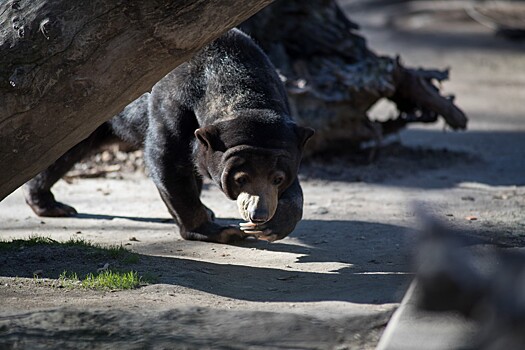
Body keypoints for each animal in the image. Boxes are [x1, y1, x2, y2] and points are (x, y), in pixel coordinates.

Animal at [24, 29, 312, 243]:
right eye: (240, 178)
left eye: (278, 178)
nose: (258, 214)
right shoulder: (173, 105)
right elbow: (166, 159)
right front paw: (220, 230)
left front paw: (274, 225)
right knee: (60, 150)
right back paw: (51, 204)